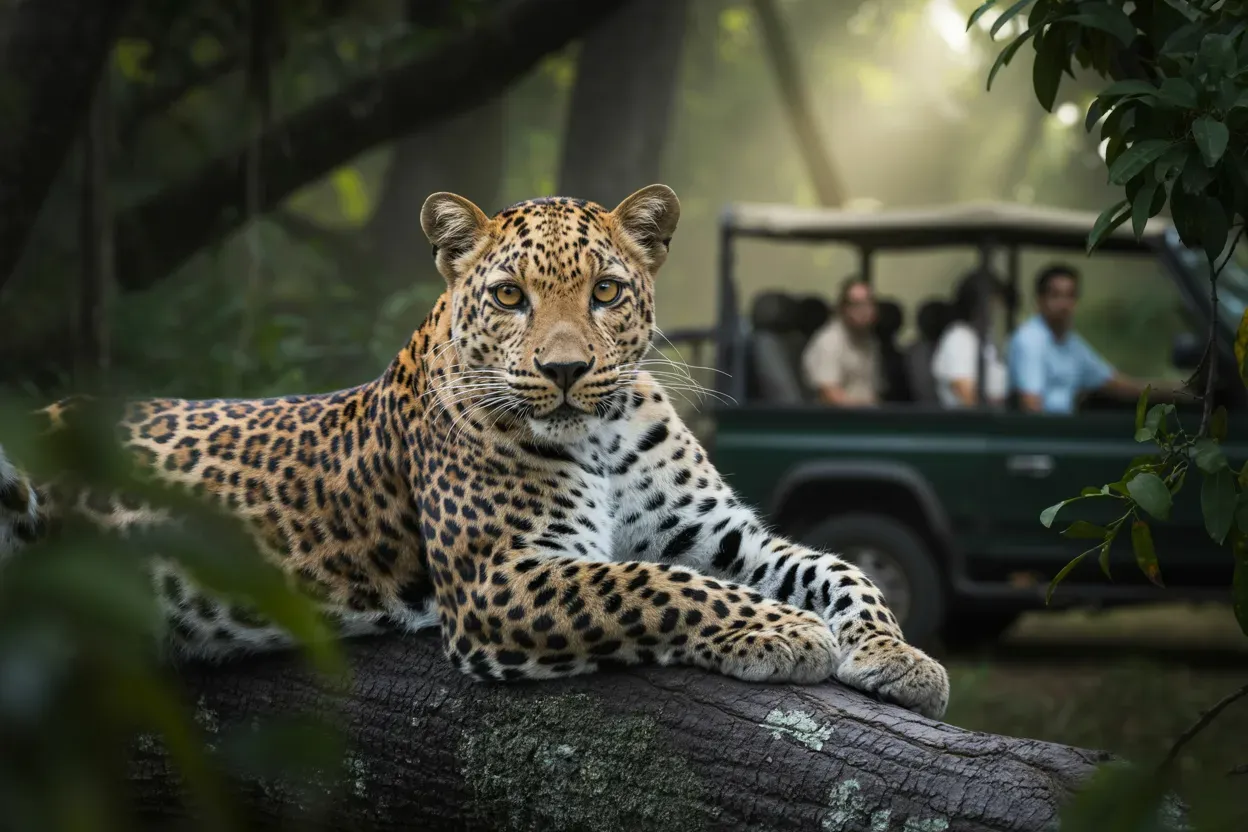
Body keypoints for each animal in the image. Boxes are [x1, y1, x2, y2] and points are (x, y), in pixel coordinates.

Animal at [0, 184, 949, 719]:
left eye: (606, 292)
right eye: (510, 296)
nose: (564, 371)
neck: (601, 433)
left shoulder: (720, 535)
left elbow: (837, 566)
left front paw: (900, 657)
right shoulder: (504, 576)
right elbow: (653, 584)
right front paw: (785, 632)